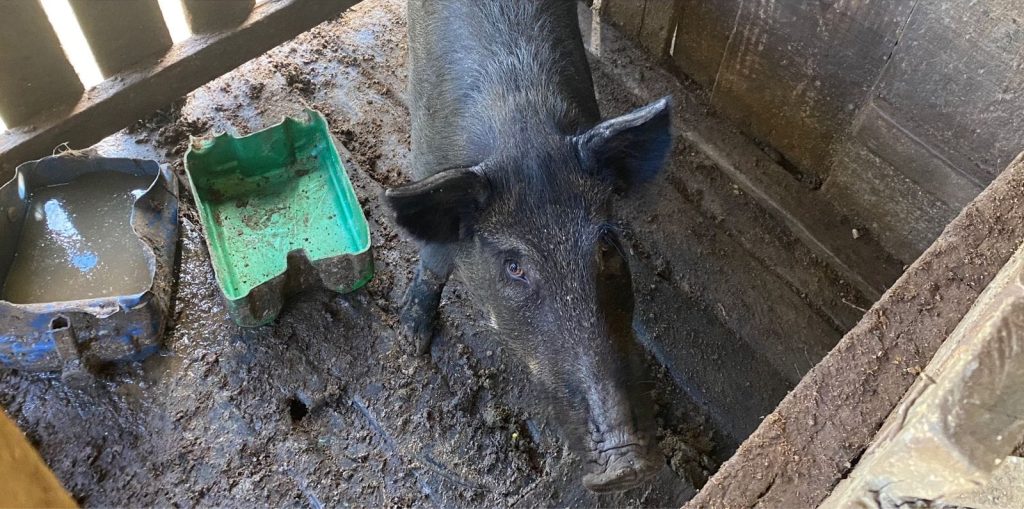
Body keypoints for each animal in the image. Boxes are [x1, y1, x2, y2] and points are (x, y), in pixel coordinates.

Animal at [385, 0, 672, 493]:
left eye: (605, 245)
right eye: (514, 266)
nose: (628, 465)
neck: (521, 127)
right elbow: (435, 260)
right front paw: (413, 342)